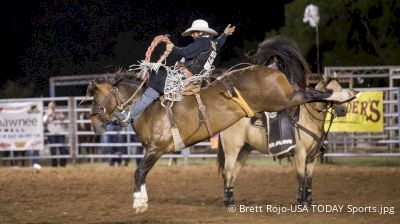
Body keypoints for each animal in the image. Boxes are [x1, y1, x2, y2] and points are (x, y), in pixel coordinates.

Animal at [217, 77, 348, 206]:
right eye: (330, 90)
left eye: (341, 89)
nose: (343, 110)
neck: (308, 119)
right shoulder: (300, 154)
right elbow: (301, 177)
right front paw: (301, 202)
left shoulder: (312, 157)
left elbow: (309, 179)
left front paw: (309, 202)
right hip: (232, 151)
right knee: (227, 172)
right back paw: (228, 202)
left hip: (244, 151)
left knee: (233, 175)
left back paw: (231, 199)